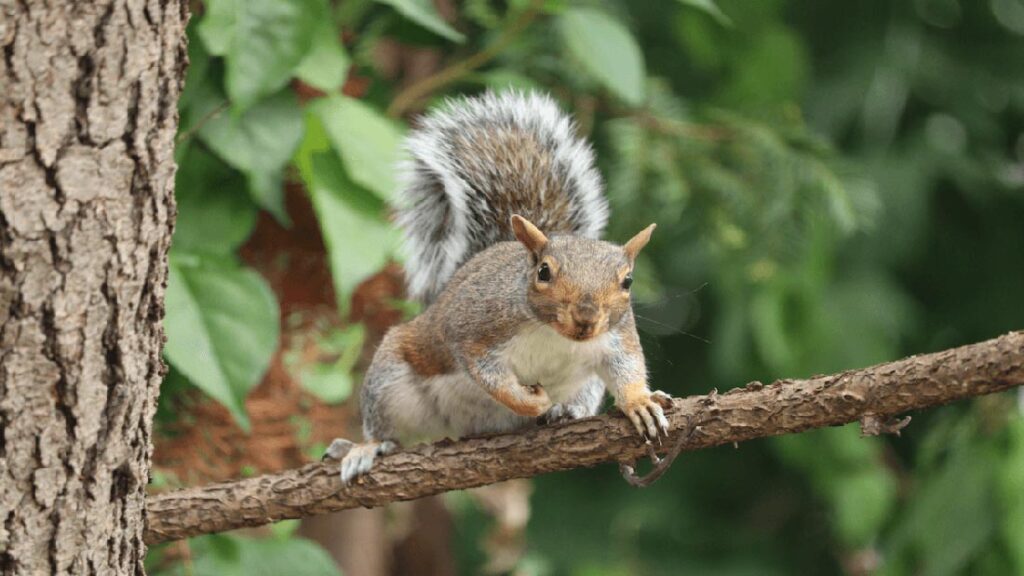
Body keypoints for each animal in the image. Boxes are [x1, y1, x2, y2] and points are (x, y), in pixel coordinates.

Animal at [326, 91, 672, 483]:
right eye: (544, 272)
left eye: (627, 281)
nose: (585, 320)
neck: (555, 335)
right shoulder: (473, 331)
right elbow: (489, 376)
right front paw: (531, 400)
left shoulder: (616, 336)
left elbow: (627, 367)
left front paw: (639, 402)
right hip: (390, 381)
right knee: (385, 428)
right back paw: (365, 448)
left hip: (586, 386)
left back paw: (565, 412)